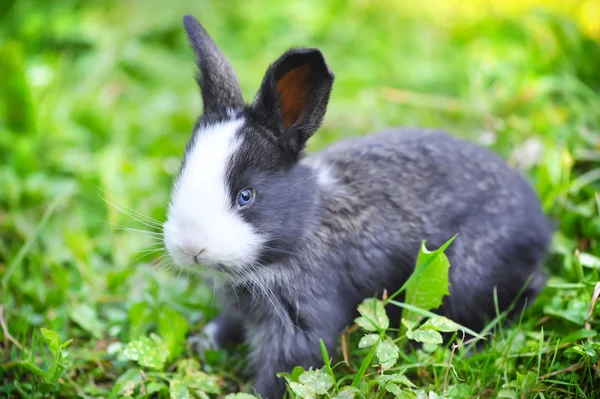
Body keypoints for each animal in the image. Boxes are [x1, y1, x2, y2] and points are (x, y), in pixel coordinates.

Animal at [161, 14, 552, 399]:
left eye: (247, 195)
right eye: (181, 172)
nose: (191, 248)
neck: (306, 227)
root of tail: (539, 225)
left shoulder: (303, 322)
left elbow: (284, 369)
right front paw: (206, 342)